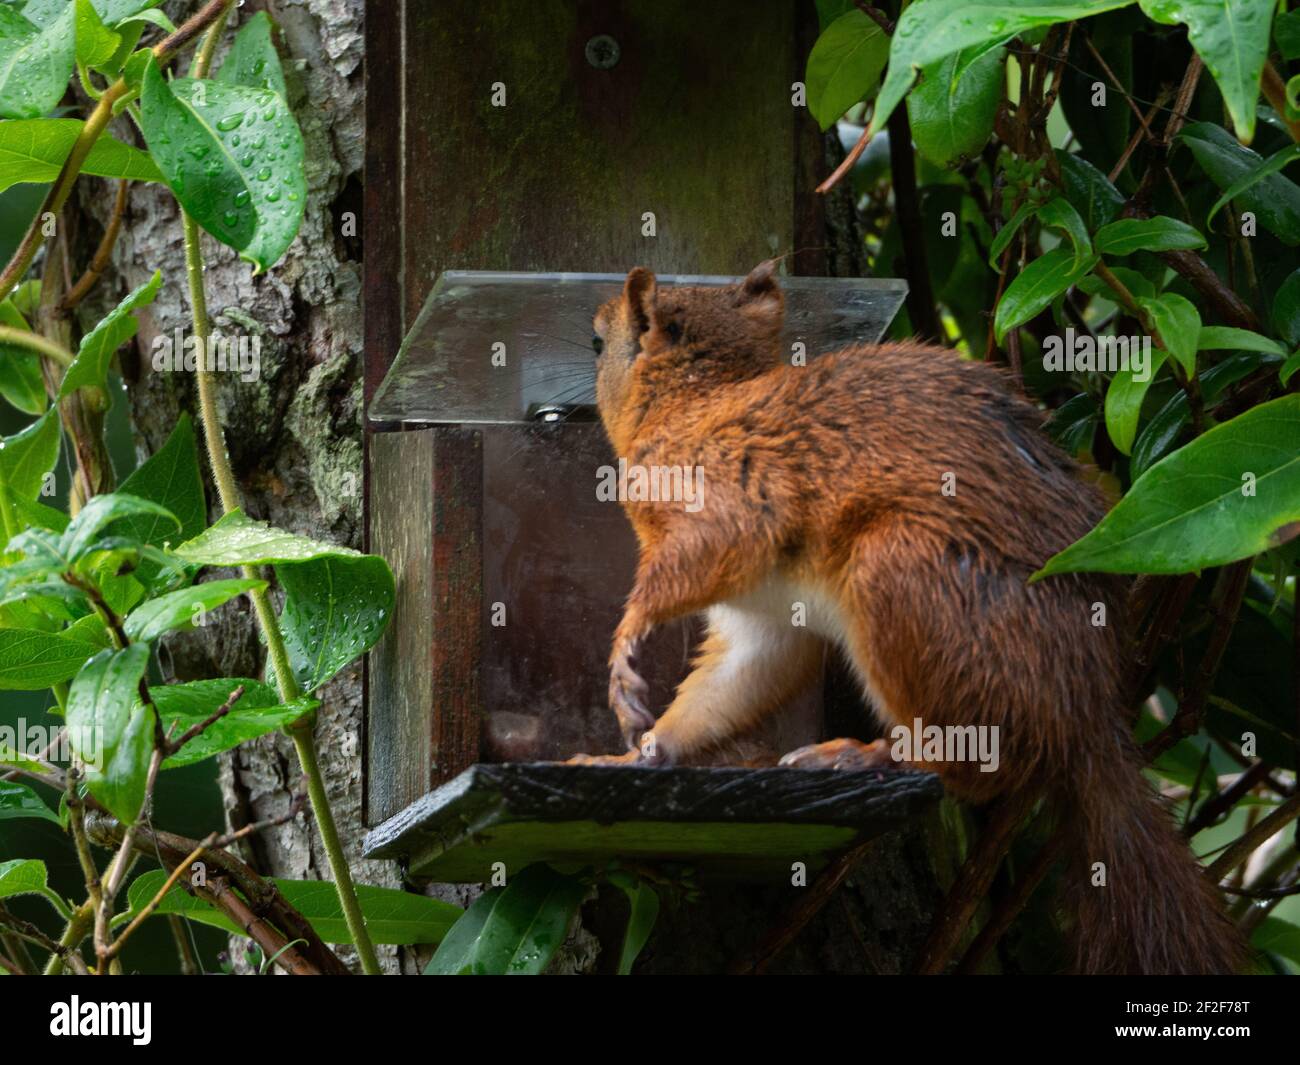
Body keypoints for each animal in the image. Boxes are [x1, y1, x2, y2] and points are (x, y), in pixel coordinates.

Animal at [574, 263, 1242, 972]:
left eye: (597, 341)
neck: (698, 398)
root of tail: (1080, 713)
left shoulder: (731, 491)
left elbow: (691, 565)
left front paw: (626, 649)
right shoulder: (765, 612)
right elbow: (738, 674)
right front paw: (637, 754)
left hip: (899, 578)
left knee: (973, 768)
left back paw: (863, 755)